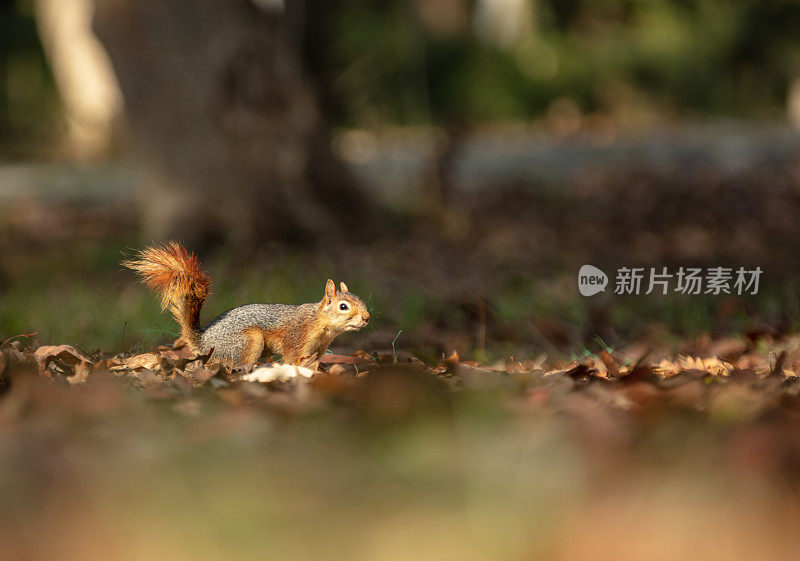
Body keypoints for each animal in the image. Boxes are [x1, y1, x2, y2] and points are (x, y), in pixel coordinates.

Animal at [122, 241, 372, 368]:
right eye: (343, 306)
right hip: (248, 341)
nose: (367, 318)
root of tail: (204, 342)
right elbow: (292, 359)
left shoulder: (318, 350)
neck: (319, 323)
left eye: (361, 299)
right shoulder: (296, 338)